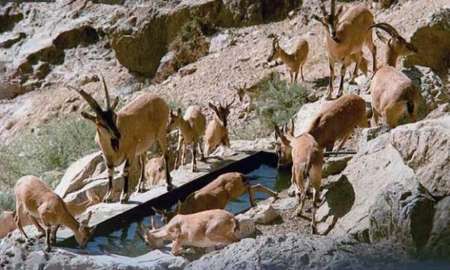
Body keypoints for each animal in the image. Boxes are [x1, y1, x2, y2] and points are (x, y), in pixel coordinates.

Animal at [67, 74, 173, 202]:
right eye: (100, 123)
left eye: (114, 116)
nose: (118, 134)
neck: (114, 146)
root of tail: (158, 98)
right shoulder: (107, 158)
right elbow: (110, 172)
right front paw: (108, 197)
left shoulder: (131, 151)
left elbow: (125, 170)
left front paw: (124, 196)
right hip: (143, 145)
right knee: (143, 160)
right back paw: (140, 187)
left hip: (161, 132)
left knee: (166, 154)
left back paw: (168, 183)